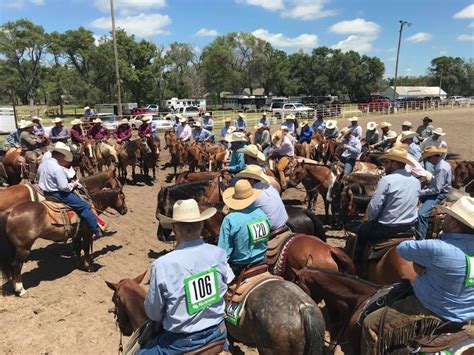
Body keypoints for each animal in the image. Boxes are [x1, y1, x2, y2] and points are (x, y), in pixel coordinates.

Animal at [0, 189, 128, 298]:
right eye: (123, 197)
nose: (125, 210)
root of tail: (10, 212)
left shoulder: (77, 235)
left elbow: (77, 249)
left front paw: (79, 264)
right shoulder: (87, 234)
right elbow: (86, 250)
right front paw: (89, 267)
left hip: (15, 247)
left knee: (12, 265)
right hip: (24, 247)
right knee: (16, 265)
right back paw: (21, 290)